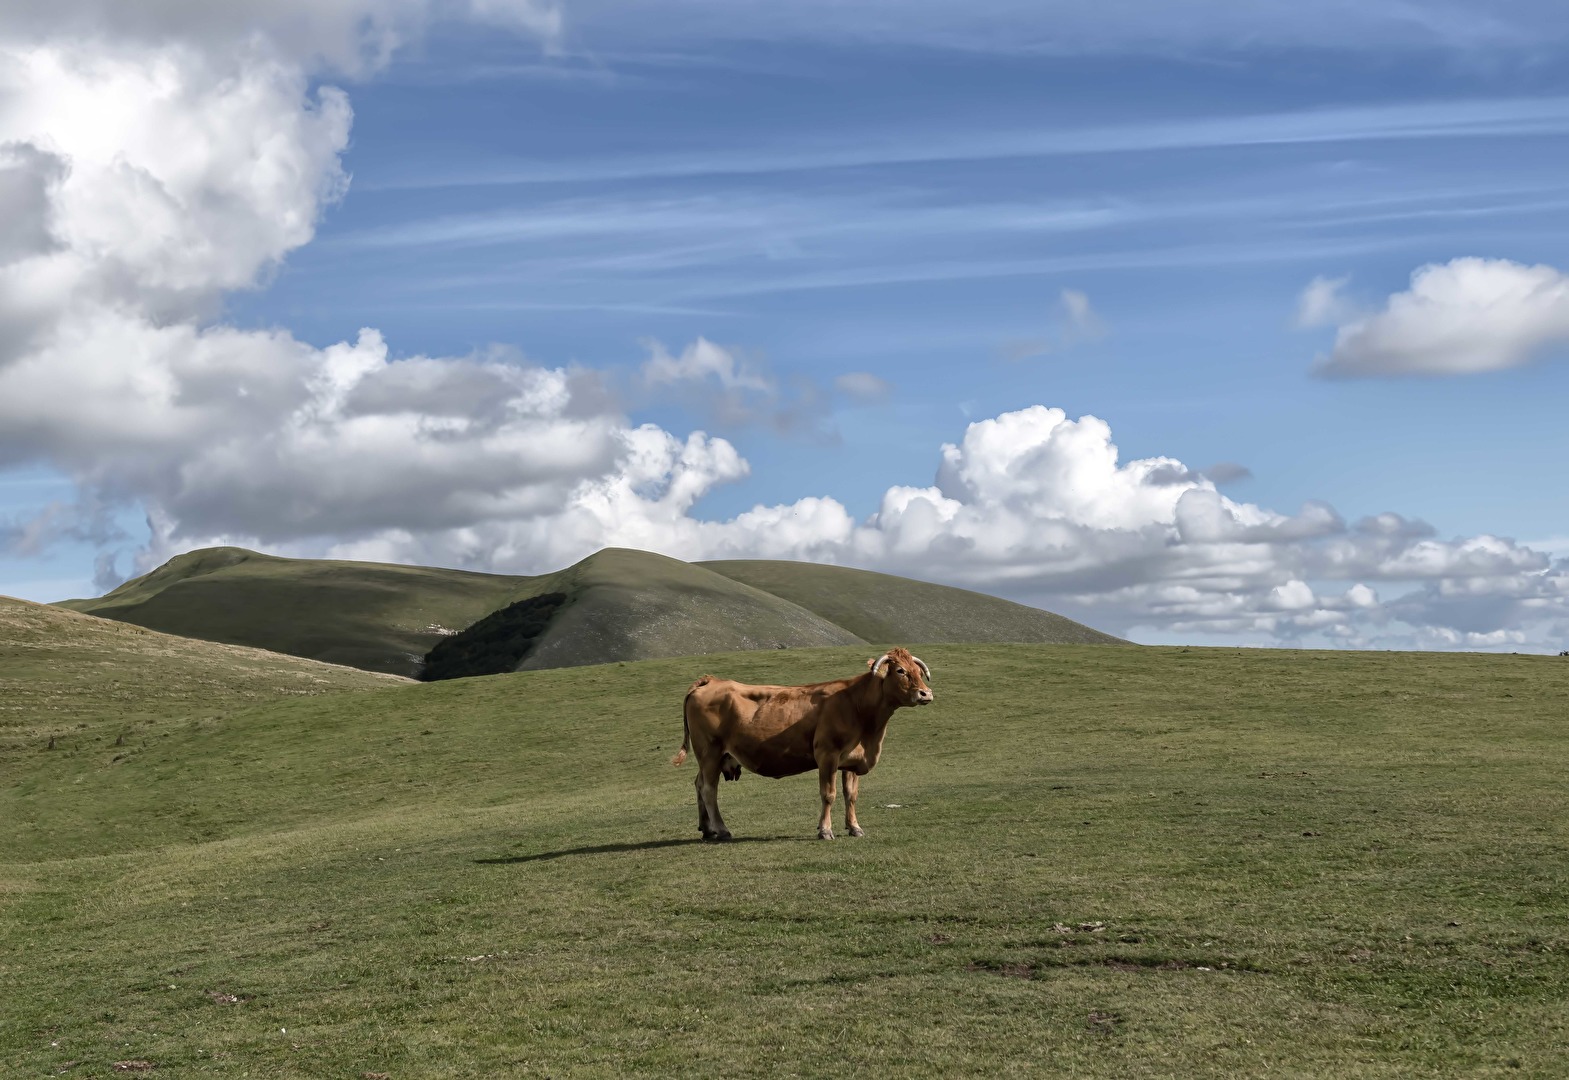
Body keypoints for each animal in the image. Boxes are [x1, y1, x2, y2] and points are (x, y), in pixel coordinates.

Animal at [671, 646, 928, 841]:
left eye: (918, 671)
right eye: (900, 670)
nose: (926, 693)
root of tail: (711, 680)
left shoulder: (851, 761)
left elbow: (851, 795)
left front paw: (854, 827)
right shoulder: (827, 755)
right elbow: (829, 794)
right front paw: (825, 830)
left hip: (712, 757)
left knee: (698, 784)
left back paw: (707, 830)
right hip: (710, 752)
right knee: (709, 789)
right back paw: (722, 830)